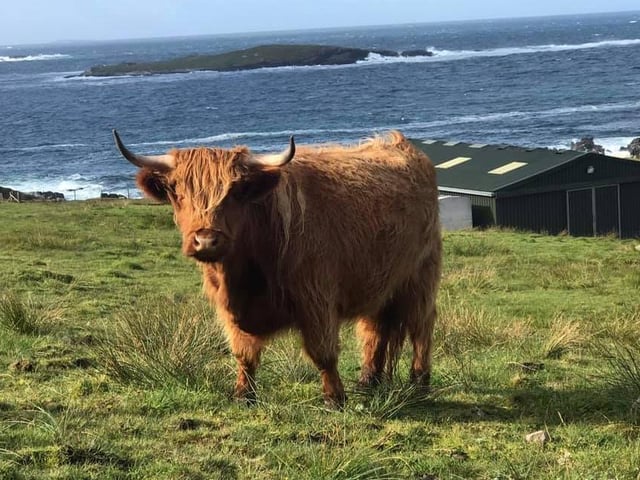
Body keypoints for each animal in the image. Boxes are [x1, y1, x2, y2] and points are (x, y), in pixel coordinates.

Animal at [113, 129, 441, 406]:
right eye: (176, 191)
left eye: (235, 192)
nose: (206, 240)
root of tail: (400, 144)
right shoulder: (231, 310)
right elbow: (243, 353)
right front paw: (243, 395)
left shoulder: (316, 299)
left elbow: (323, 352)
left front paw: (334, 398)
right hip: (379, 282)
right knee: (375, 329)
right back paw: (368, 381)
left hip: (420, 276)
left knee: (421, 327)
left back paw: (418, 383)